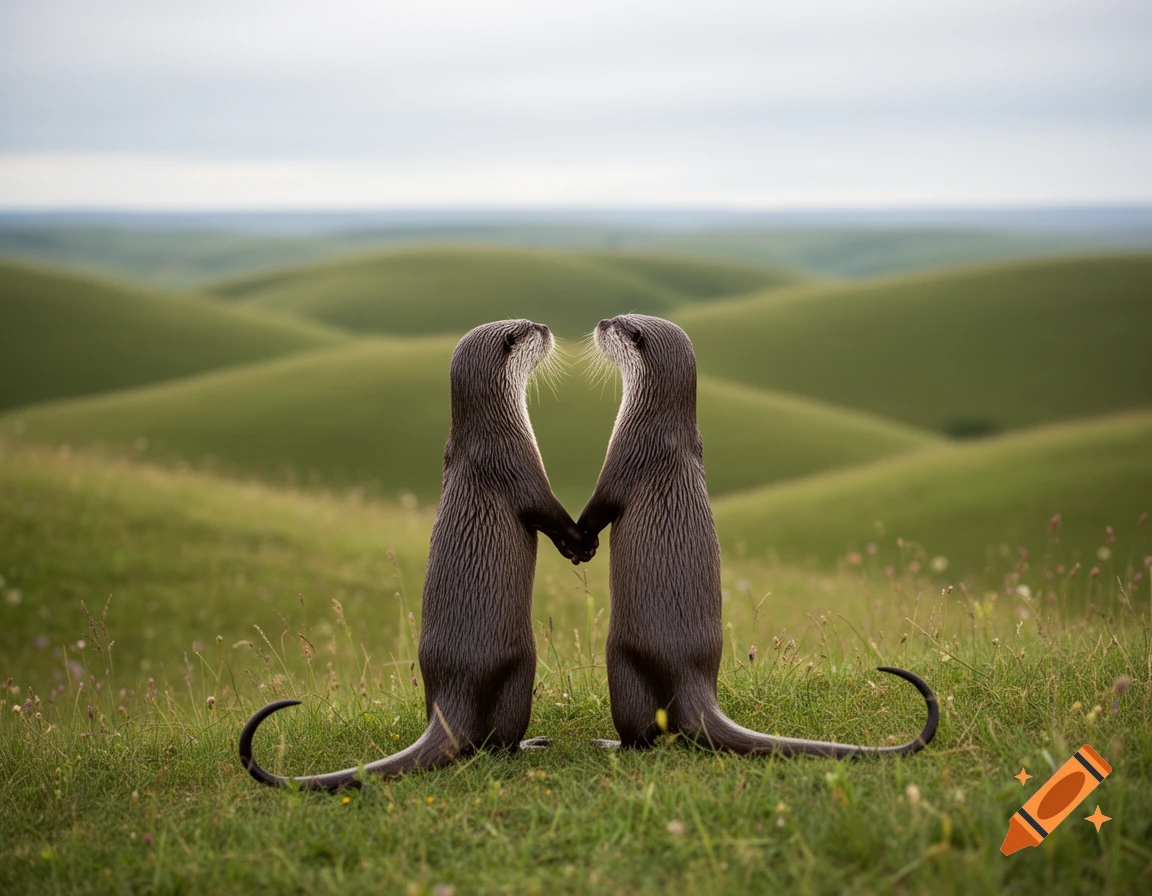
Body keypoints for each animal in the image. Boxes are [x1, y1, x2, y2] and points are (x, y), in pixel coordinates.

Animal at [239, 319, 595, 791]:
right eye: (525, 329)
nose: (546, 326)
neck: (493, 430)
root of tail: (454, 690)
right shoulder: (515, 464)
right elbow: (546, 511)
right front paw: (580, 544)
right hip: (521, 665)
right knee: (496, 742)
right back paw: (532, 743)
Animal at [578, 314, 937, 756]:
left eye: (621, 324)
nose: (601, 321)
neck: (658, 424)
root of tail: (691, 676)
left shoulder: (629, 454)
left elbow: (601, 505)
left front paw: (582, 543)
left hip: (623, 658)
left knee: (641, 731)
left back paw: (610, 742)